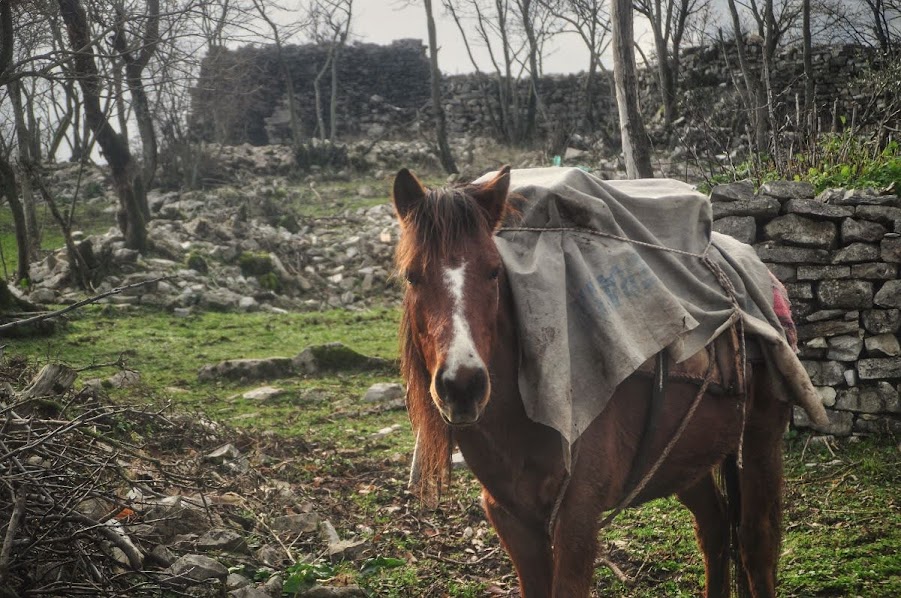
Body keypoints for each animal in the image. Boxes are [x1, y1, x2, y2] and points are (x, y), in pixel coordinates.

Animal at [394, 165, 796, 598]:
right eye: (412, 276)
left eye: (494, 271)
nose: (463, 386)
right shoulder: (512, 519)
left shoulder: (578, 517)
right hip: (684, 456)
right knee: (715, 528)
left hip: (760, 442)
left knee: (756, 544)